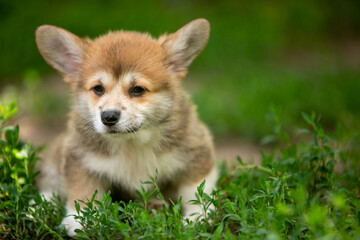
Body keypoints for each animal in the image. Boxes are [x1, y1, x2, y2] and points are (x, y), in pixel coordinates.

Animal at [35, 18, 217, 236]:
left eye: (137, 89)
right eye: (98, 88)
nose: (108, 117)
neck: (132, 143)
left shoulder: (197, 152)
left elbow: (196, 190)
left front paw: (197, 218)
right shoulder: (80, 160)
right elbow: (82, 192)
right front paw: (78, 222)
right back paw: (36, 209)